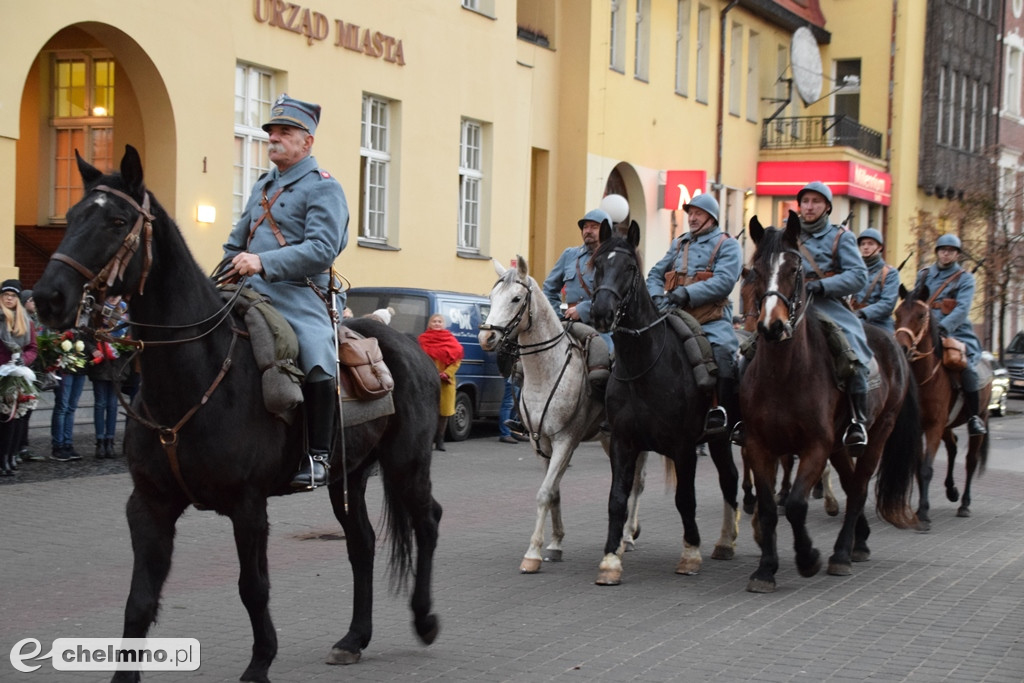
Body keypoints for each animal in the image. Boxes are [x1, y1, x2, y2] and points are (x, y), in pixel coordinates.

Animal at [30, 147, 440, 679]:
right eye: (73, 215)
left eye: (117, 221)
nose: (48, 298)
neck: (195, 376)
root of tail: (412, 346)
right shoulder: (149, 506)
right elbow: (139, 600)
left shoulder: (248, 507)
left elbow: (253, 588)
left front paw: (260, 662)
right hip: (347, 476)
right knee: (362, 543)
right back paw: (354, 638)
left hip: (407, 464)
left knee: (426, 522)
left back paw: (425, 619)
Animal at [475, 253, 643, 573]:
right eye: (491, 297)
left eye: (516, 298)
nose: (486, 337)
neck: (546, 373)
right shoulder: (541, 444)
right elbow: (553, 492)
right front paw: (554, 544)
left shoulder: (565, 441)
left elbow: (544, 493)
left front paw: (532, 554)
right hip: (608, 439)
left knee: (637, 484)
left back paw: (628, 536)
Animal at [585, 222, 737, 585]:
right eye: (597, 265)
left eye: (629, 267)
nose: (601, 313)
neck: (644, 366)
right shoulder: (623, 442)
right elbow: (617, 498)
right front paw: (610, 559)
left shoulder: (684, 447)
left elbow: (685, 499)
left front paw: (691, 554)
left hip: (723, 439)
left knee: (730, 480)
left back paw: (726, 541)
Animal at [737, 214, 921, 593]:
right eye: (756, 270)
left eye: (796, 269)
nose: (771, 326)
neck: (783, 374)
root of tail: (893, 344)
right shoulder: (759, 445)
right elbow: (767, 506)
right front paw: (765, 570)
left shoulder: (815, 446)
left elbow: (795, 504)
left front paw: (808, 558)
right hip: (839, 445)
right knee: (852, 485)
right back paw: (859, 542)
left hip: (876, 435)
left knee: (860, 487)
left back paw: (841, 554)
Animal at [892, 282, 987, 528]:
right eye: (897, 314)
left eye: (921, 314)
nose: (902, 349)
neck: (925, 378)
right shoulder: (920, 427)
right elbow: (918, 467)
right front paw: (919, 510)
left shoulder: (934, 426)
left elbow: (926, 468)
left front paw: (924, 513)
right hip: (947, 425)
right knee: (953, 447)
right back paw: (952, 490)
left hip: (980, 419)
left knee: (970, 460)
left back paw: (964, 504)